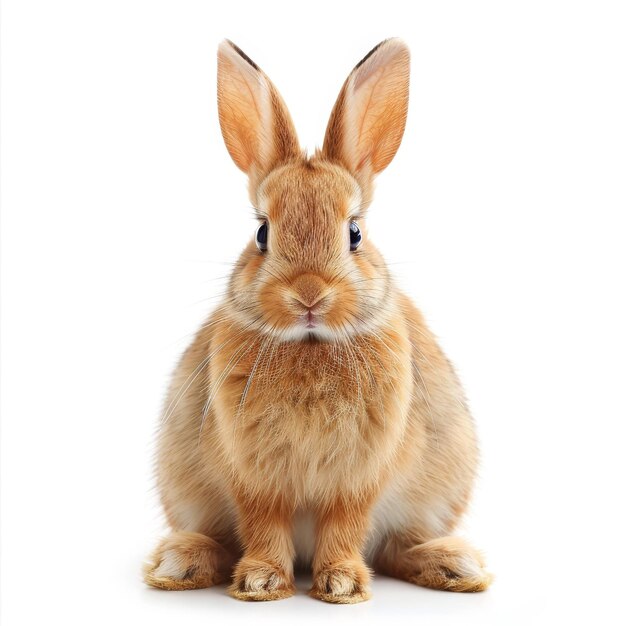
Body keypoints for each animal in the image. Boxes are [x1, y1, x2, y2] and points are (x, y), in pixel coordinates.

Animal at [144, 37, 490, 600]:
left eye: (355, 233)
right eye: (262, 233)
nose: (309, 294)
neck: (310, 344)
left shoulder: (359, 476)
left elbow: (346, 524)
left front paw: (341, 585)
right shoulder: (253, 473)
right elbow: (263, 521)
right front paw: (262, 581)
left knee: (396, 547)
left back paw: (455, 564)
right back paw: (181, 562)